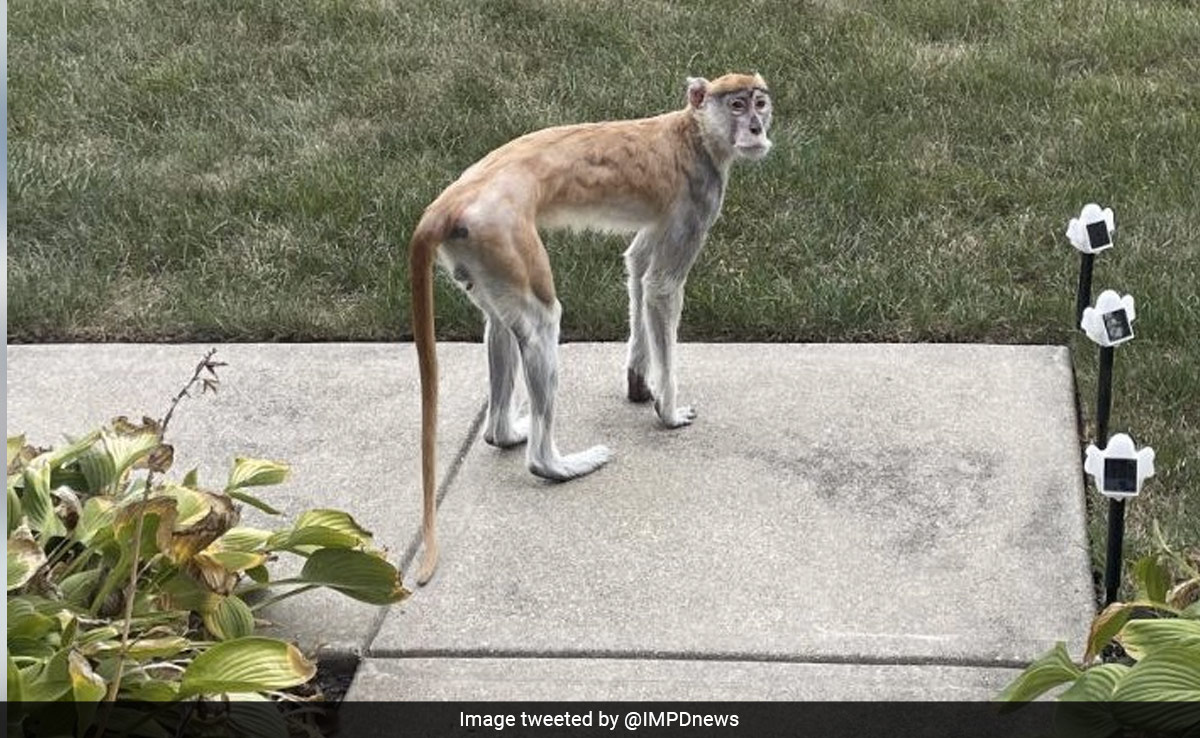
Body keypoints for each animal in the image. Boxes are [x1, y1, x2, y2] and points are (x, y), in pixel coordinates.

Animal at [410, 73, 773, 584]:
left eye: (760, 102)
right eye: (737, 105)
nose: (757, 128)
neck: (694, 131)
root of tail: (449, 203)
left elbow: (638, 266)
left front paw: (639, 381)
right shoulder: (698, 196)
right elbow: (661, 287)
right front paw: (668, 410)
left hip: (477, 251)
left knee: (500, 325)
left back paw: (504, 432)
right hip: (503, 235)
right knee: (541, 322)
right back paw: (553, 464)